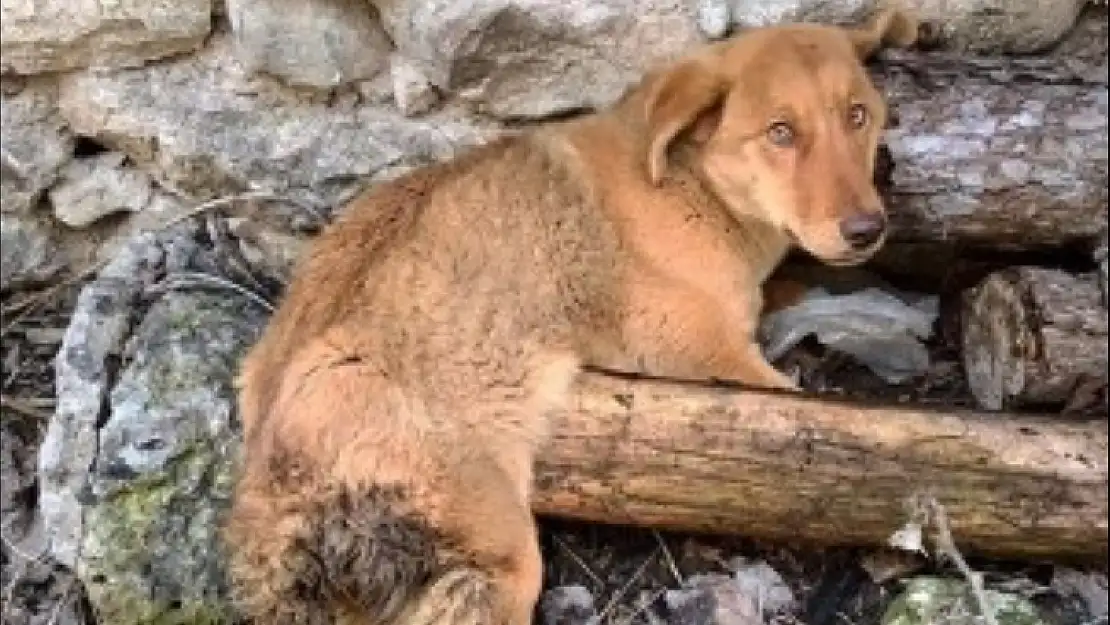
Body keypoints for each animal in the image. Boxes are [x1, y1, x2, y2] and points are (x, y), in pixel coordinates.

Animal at [223, 6, 919, 625]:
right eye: (780, 132)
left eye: (858, 116)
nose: (868, 230)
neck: (695, 182)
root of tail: (265, 484)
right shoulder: (701, 354)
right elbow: (789, 397)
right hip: (496, 545)